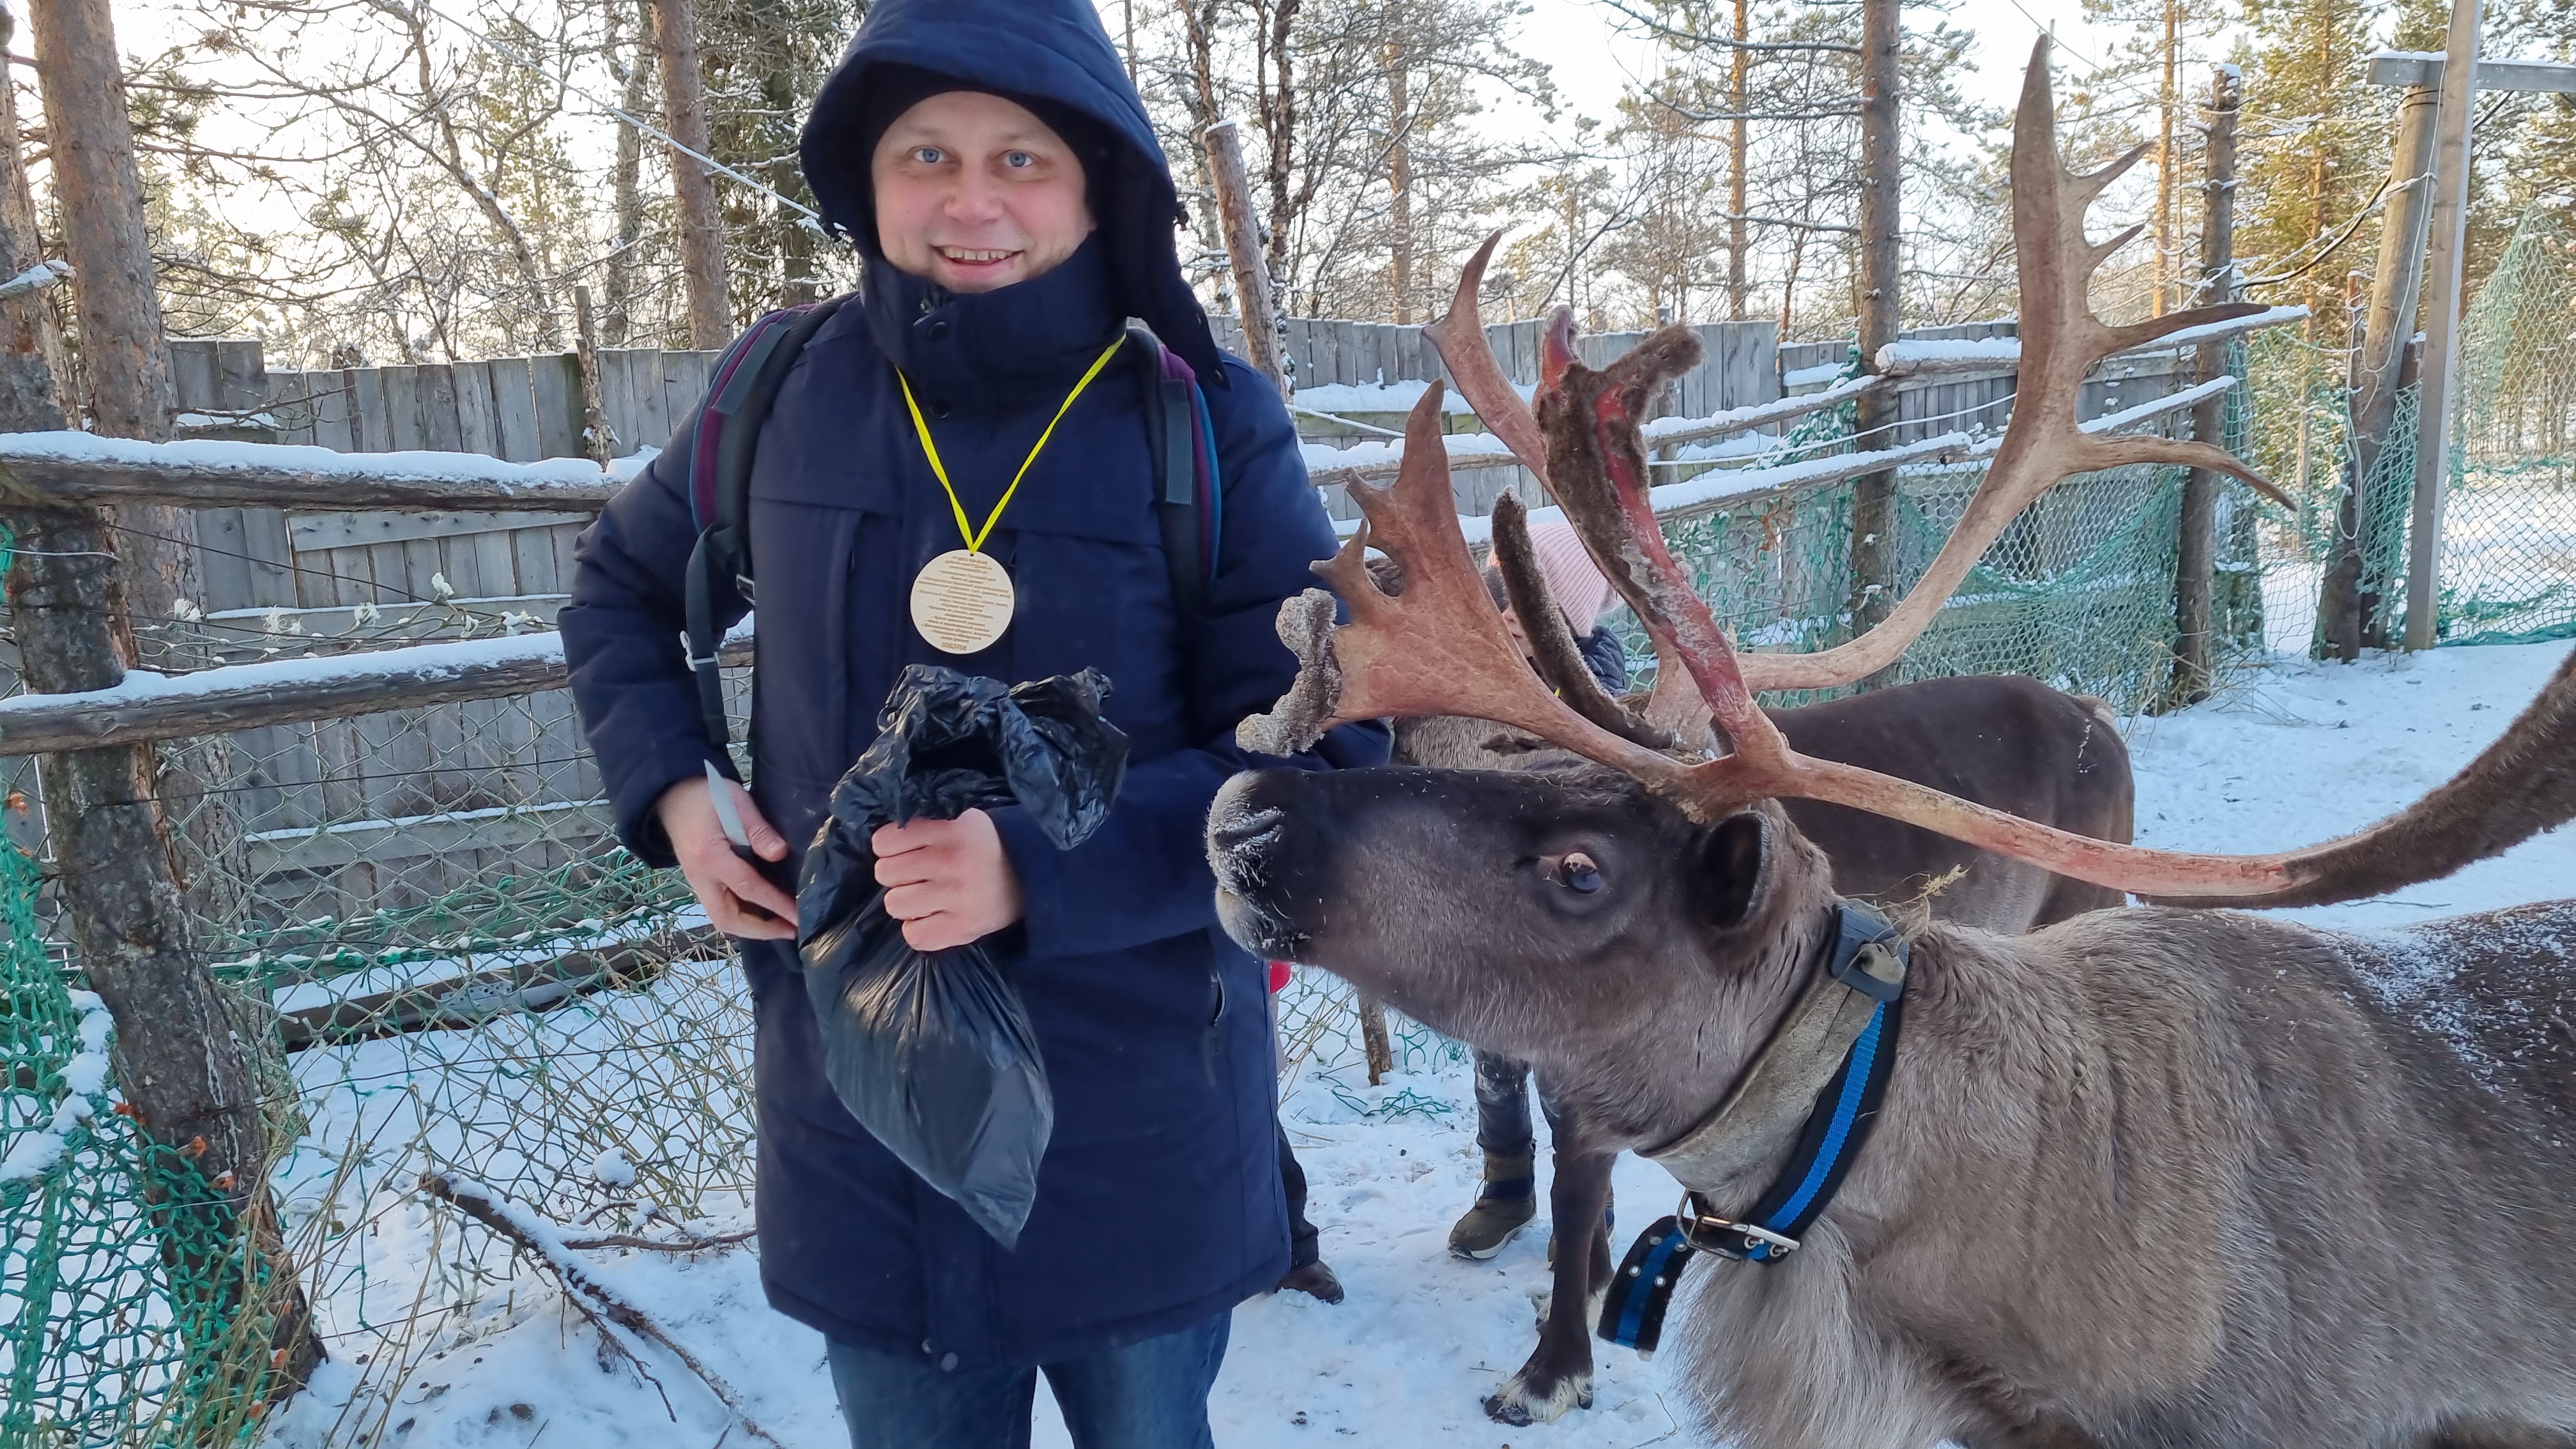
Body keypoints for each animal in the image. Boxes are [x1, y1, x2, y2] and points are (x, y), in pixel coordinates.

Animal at [1379, 245, 2137, 1424]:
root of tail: (2100, 717)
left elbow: (1576, 1204)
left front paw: (1548, 1372)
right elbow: (1577, 1198)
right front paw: (1579, 1294)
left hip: (2081, 900)